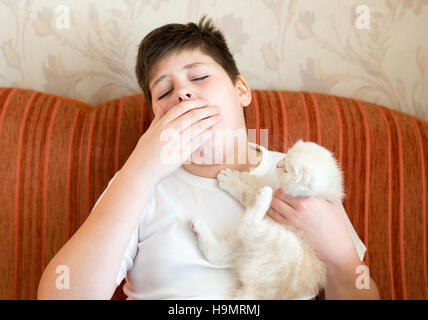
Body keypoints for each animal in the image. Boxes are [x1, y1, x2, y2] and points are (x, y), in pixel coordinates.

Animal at [187, 140, 344, 300]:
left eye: (286, 170)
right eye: (285, 156)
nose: (277, 165)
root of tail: (256, 293)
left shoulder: (274, 211)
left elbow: (248, 193)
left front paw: (232, 181)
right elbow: (256, 184)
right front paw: (244, 176)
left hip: (280, 242)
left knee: (248, 227)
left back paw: (264, 196)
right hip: (244, 247)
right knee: (217, 253)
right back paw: (198, 226)